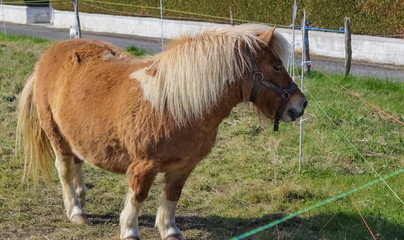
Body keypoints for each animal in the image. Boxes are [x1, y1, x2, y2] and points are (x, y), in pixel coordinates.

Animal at [15, 23, 306, 239]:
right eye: (277, 66)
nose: (300, 104)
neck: (176, 105)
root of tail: (50, 53)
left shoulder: (184, 166)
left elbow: (173, 194)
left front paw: (169, 229)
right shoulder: (144, 165)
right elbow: (138, 195)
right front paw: (129, 230)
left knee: (77, 163)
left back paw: (82, 198)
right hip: (56, 136)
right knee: (64, 169)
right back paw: (75, 209)